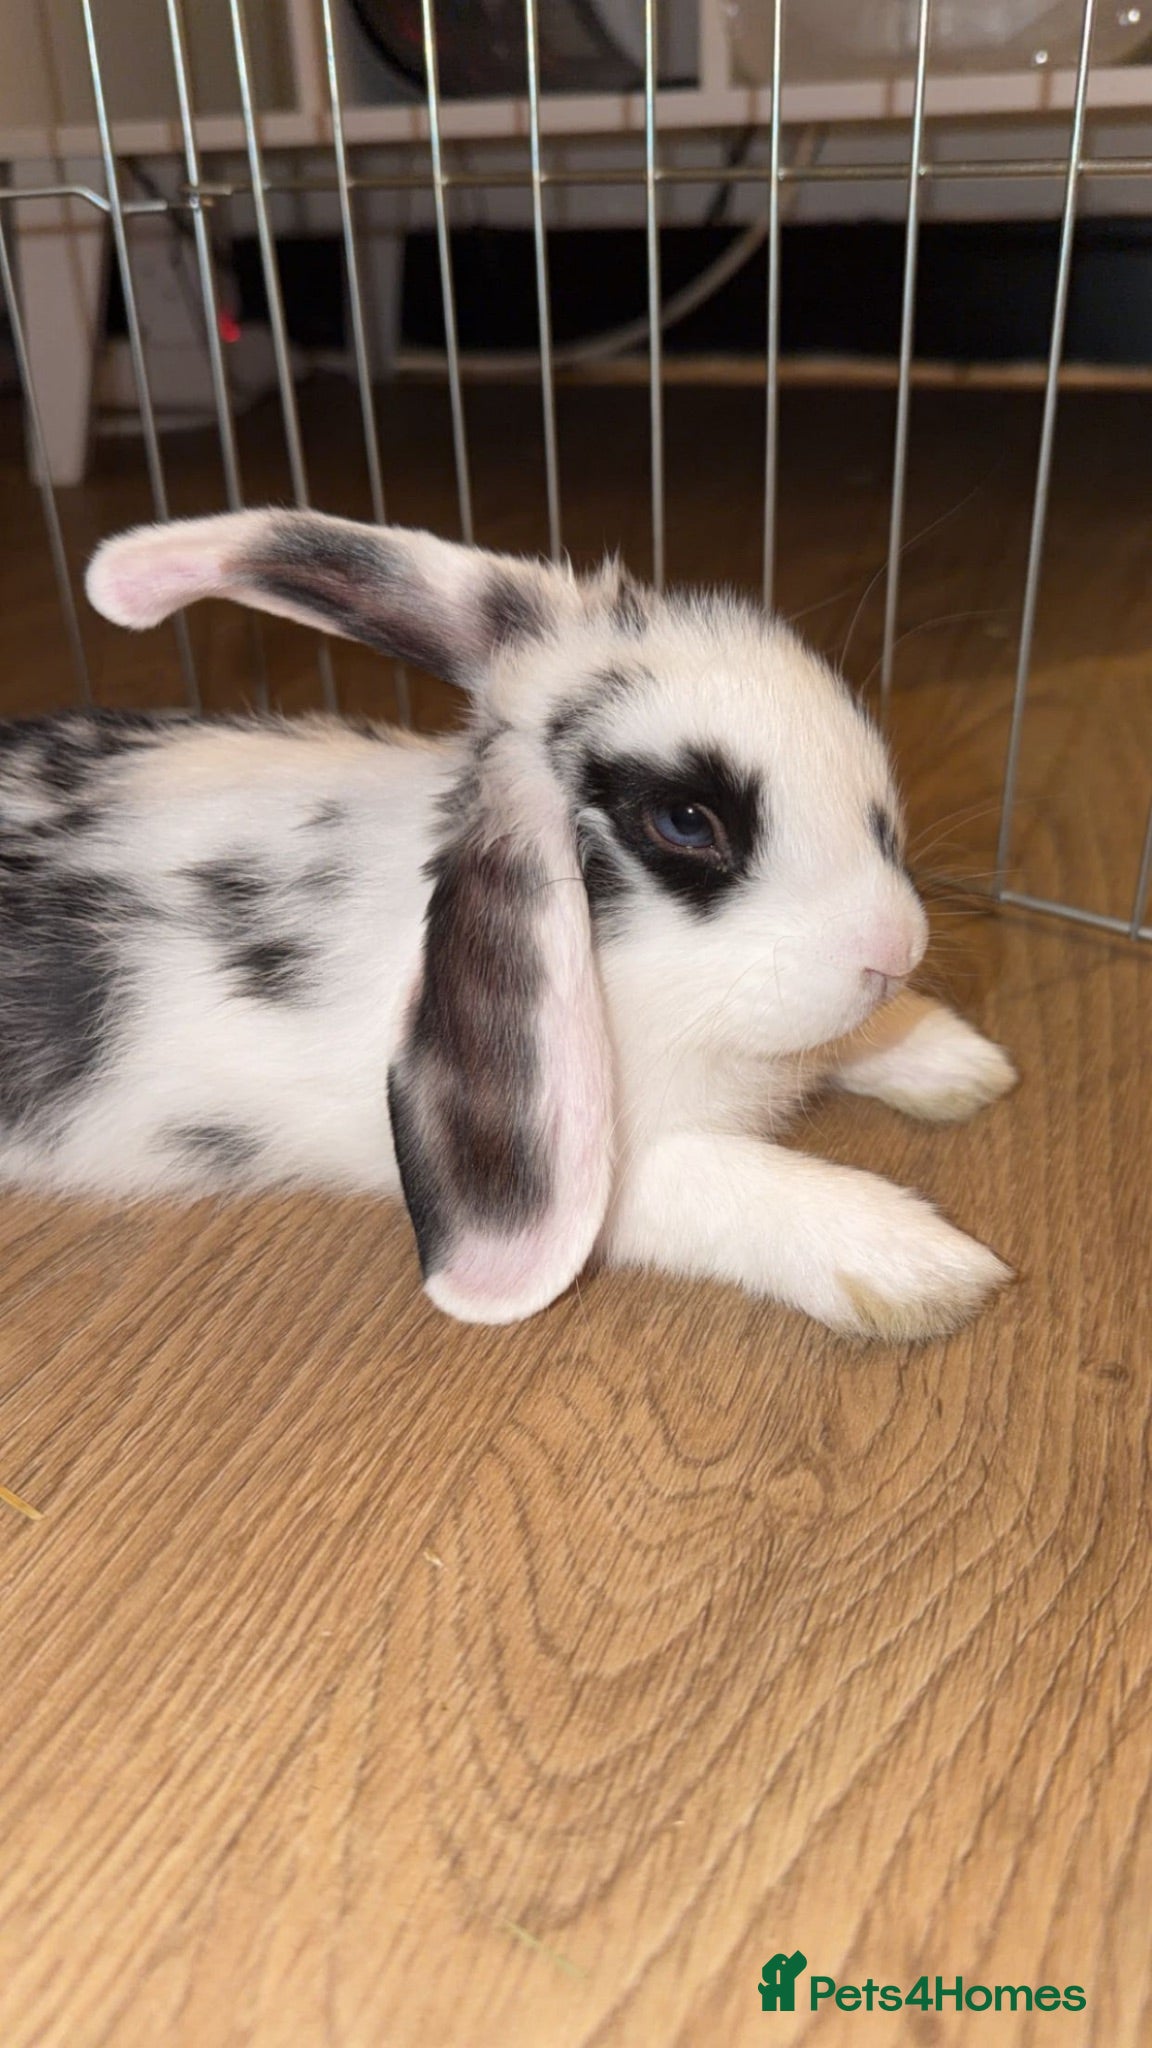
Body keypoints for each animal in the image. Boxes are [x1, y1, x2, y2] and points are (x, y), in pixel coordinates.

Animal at [0, 506, 1016, 1337]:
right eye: (685, 822)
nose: (895, 948)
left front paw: (956, 1061)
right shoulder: (613, 1167)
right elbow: (729, 1182)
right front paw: (922, 1266)